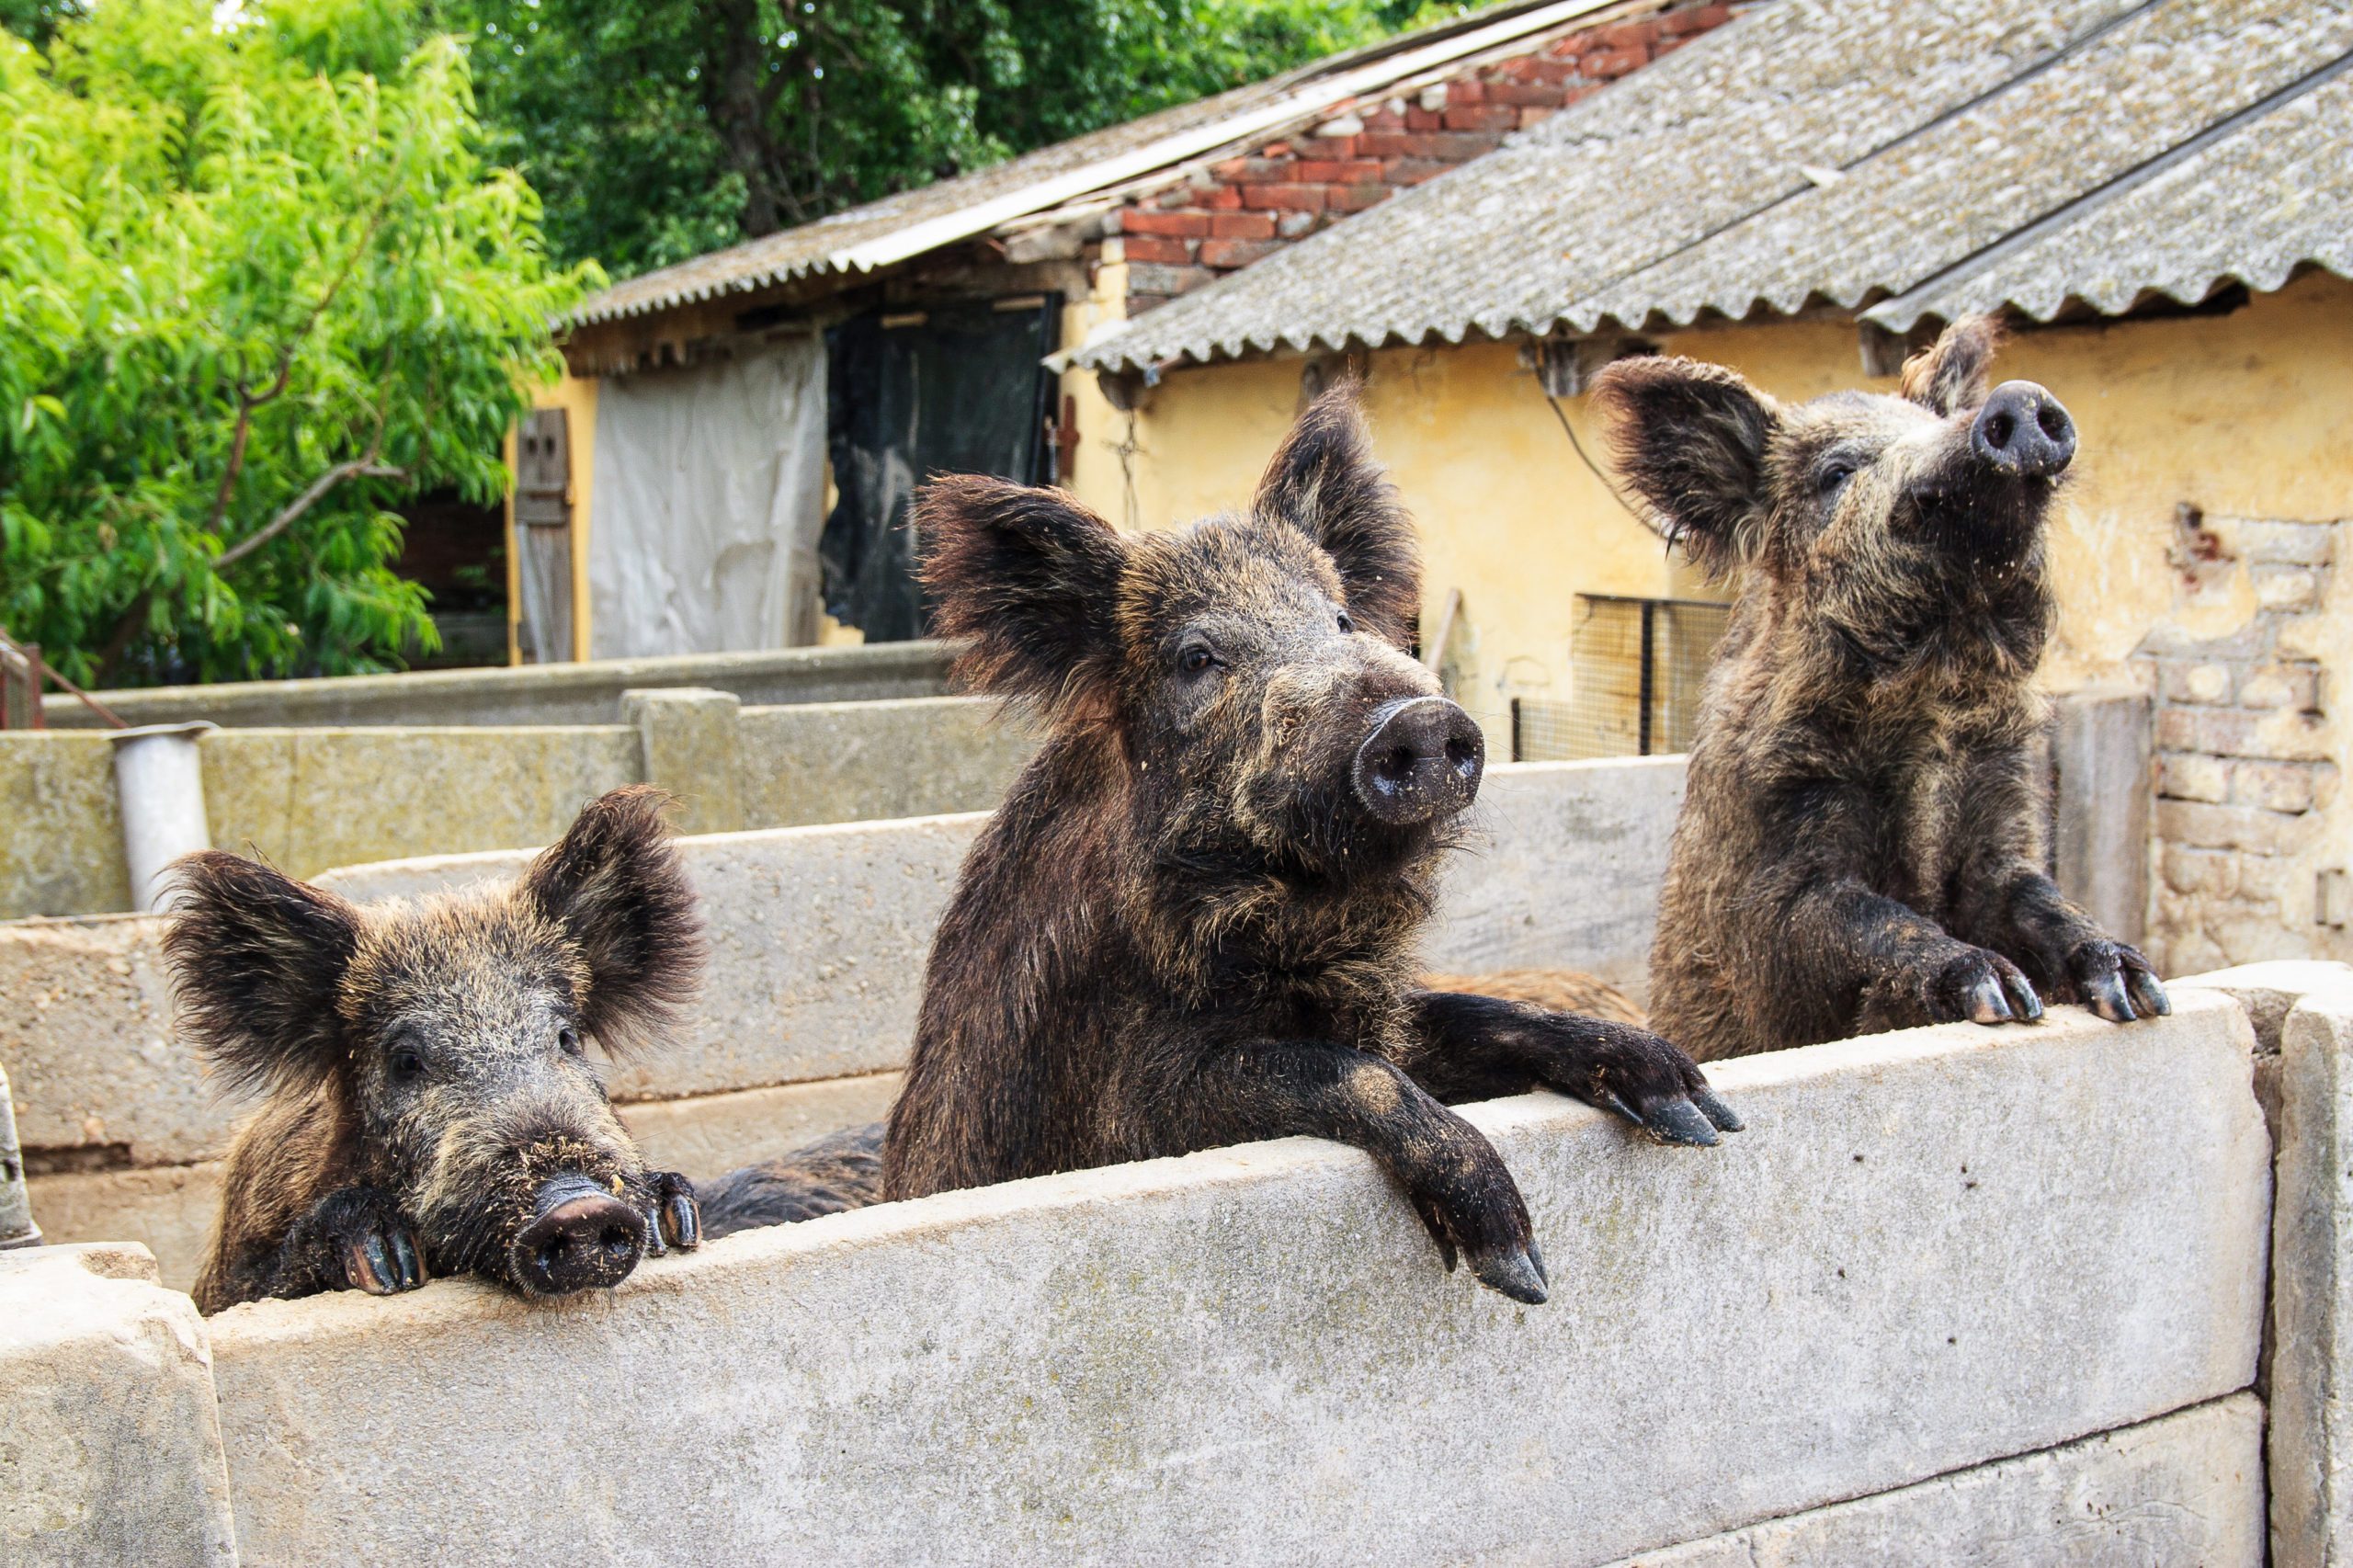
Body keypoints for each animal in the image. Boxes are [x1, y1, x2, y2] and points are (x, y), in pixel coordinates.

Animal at [877, 382, 1740, 1304]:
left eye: (1338, 618)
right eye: (1197, 656)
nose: (1418, 717)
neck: (1299, 928)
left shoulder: (1388, 1014)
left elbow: (1471, 1014)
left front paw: (1700, 1111)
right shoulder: (1130, 1107)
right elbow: (1340, 1073)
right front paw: (1520, 1269)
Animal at [1593, 317, 2169, 1062]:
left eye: (1935, 422)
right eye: (1837, 473)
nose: (2017, 398)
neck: (1931, 701)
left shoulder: (2004, 812)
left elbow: (2041, 899)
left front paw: (2140, 992)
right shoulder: (1772, 871)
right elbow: (1864, 917)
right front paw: (2002, 997)